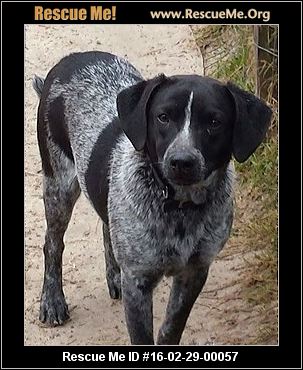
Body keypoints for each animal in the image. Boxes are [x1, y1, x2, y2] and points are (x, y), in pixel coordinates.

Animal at [33, 50, 274, 346]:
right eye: (163, 117)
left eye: (214, 122)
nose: (181, 161)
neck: (180, 208)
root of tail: (72, 58)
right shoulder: (139, 282)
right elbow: (143, 338)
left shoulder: (194, 272)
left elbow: (171, 328)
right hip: (60, 186)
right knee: (53, 244)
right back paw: (53, 301)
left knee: (105, 225)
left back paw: (114, 276)